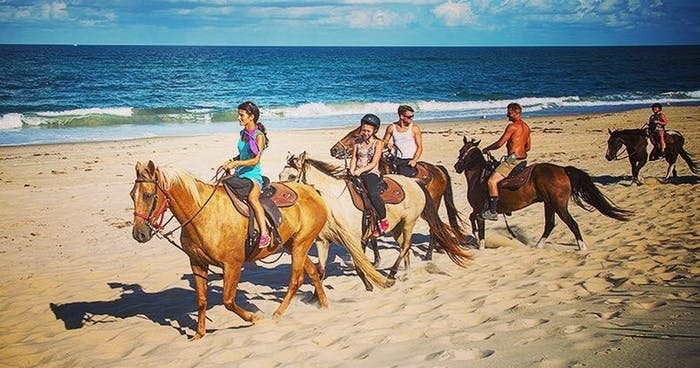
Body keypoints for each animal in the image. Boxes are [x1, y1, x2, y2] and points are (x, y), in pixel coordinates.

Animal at [132, 161, 330, 340]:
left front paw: (255, 318)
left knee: (296, 280)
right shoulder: (197, 263)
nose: (138, 234)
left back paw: (277, 314)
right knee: (313, 272)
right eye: (132, 195)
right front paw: (199, 334)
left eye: (148, 195)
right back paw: (324, 306)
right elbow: (201, 300)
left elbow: (228, 301)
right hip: (293, 245)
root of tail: (313, 191)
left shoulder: (232, 265)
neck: (204, 215)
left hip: (300, 245)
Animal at [278, 150, 470, 290]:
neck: (334, 200)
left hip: (409, 222)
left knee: (406, 246)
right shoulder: (323, 241)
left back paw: (393, 274)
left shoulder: (354, 239)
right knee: (404, 247)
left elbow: (359, 263)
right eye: (280, 175)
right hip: (397, 227)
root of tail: (416, 183)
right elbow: (322, 270)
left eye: (292, 176)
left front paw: (369, 285)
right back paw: (406, 273)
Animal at [330, 126, 470, 262]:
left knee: (433, 227)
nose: (334, 150)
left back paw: (428, 255)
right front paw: (376, 259)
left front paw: (376, 260)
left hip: (432, 205)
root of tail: (437, 169)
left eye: (355, 136)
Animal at [456, 137, 632, 252]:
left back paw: (582, 248)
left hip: (559, 205)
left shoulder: (480, 211)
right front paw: (475, 236)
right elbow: (471, 218)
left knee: (572, 224)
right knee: (550, 224)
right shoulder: (477, 211)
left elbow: (479, 226)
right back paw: (538, 246)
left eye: (462, 151)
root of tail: (563, 170)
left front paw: (480, 244)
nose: (456, 166)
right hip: (549, 204)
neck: (478, 176)